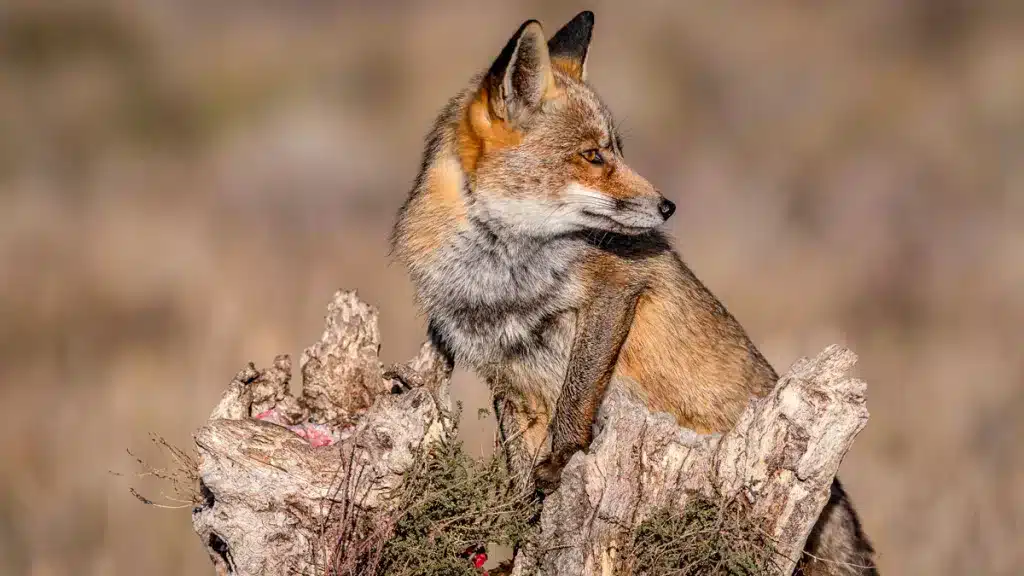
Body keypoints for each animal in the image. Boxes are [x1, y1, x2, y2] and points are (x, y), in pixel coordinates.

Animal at [391, 11, 877, 576]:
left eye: (617, 150)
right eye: (592, 156)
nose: (667, 206)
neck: (502, 282)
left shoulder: (617, 288)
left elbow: (576, 397)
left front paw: (559, 461)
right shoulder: (505, 374)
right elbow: (517, 467)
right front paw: (521, 520)